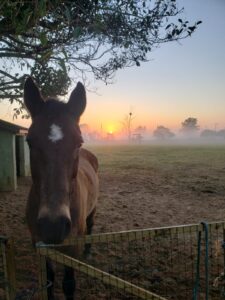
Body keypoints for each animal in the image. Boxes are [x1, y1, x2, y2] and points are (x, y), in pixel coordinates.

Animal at [23, 78, 99, 300]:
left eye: (78, 142)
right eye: (29, 141)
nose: (53, 225)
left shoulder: (72, 246)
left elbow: (68, 283)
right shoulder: (39, 243)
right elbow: (48, 280)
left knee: (91, 225)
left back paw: (88, 252)